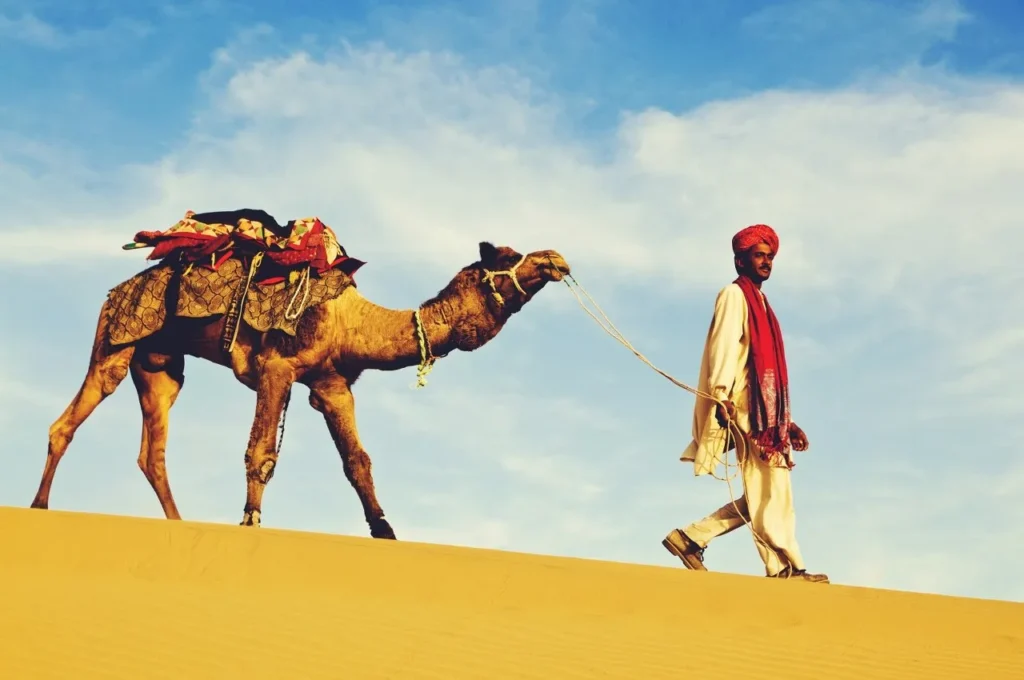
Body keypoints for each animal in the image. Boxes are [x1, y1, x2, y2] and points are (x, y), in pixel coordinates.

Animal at [30, 241, 570, 539]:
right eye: (510, 258)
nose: (556, 259)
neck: (349, 322)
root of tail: (115, 291)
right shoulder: (277, 367)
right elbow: (260, 454)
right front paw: (250, 523)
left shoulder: (332, 385)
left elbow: (358, 462)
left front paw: (386, 532)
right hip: (115, 341)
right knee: (68, 421)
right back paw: (38, 508)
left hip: (161, 367)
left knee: (152, 452)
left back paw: (178, 522)